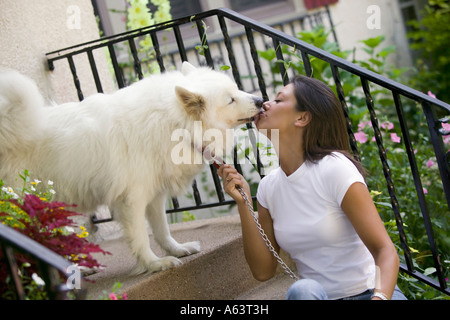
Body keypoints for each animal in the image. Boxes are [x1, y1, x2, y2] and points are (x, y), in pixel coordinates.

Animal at [0, 62, 262, 272]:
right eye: (230, 99)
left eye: (236, 89)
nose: (260, 100)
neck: (175, 122)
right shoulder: (131, 201)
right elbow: (141, 238)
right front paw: (155, 264)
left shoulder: (155, 197)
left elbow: (162, 230)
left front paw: (176, 250)